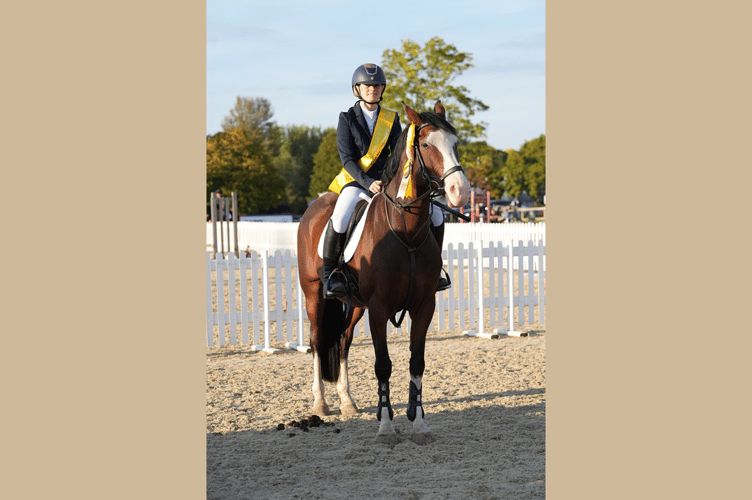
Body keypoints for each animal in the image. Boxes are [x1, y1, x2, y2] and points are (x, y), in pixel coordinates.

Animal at [296, 101, 468, 446]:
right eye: (426, 145)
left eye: (455, 144)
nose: (461, 191)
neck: (405, 231)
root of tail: (316, 206)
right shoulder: (378, 308)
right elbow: (383, 365)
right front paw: (387, 427)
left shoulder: (423, 306)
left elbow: (417, 362)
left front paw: (418, 424)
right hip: (314, 295)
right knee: (318, 340)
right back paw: (321, 403)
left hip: (354, 305)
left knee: (344, 339)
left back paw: (347, 401)